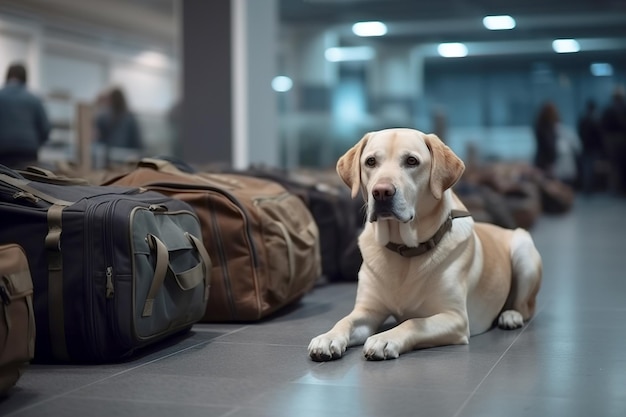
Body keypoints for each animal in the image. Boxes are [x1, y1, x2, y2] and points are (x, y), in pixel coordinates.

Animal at [308, 128, 540, 360]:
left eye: (411, 161)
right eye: (370, 161)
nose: (381, 192)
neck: (404, 250)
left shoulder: (455, 317)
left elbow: (413, 322)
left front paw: (384, 339)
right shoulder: (367, 311)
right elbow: (345, 320)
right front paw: (328, 337)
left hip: (523, 249)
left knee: (525, 306)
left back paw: (510, 316)